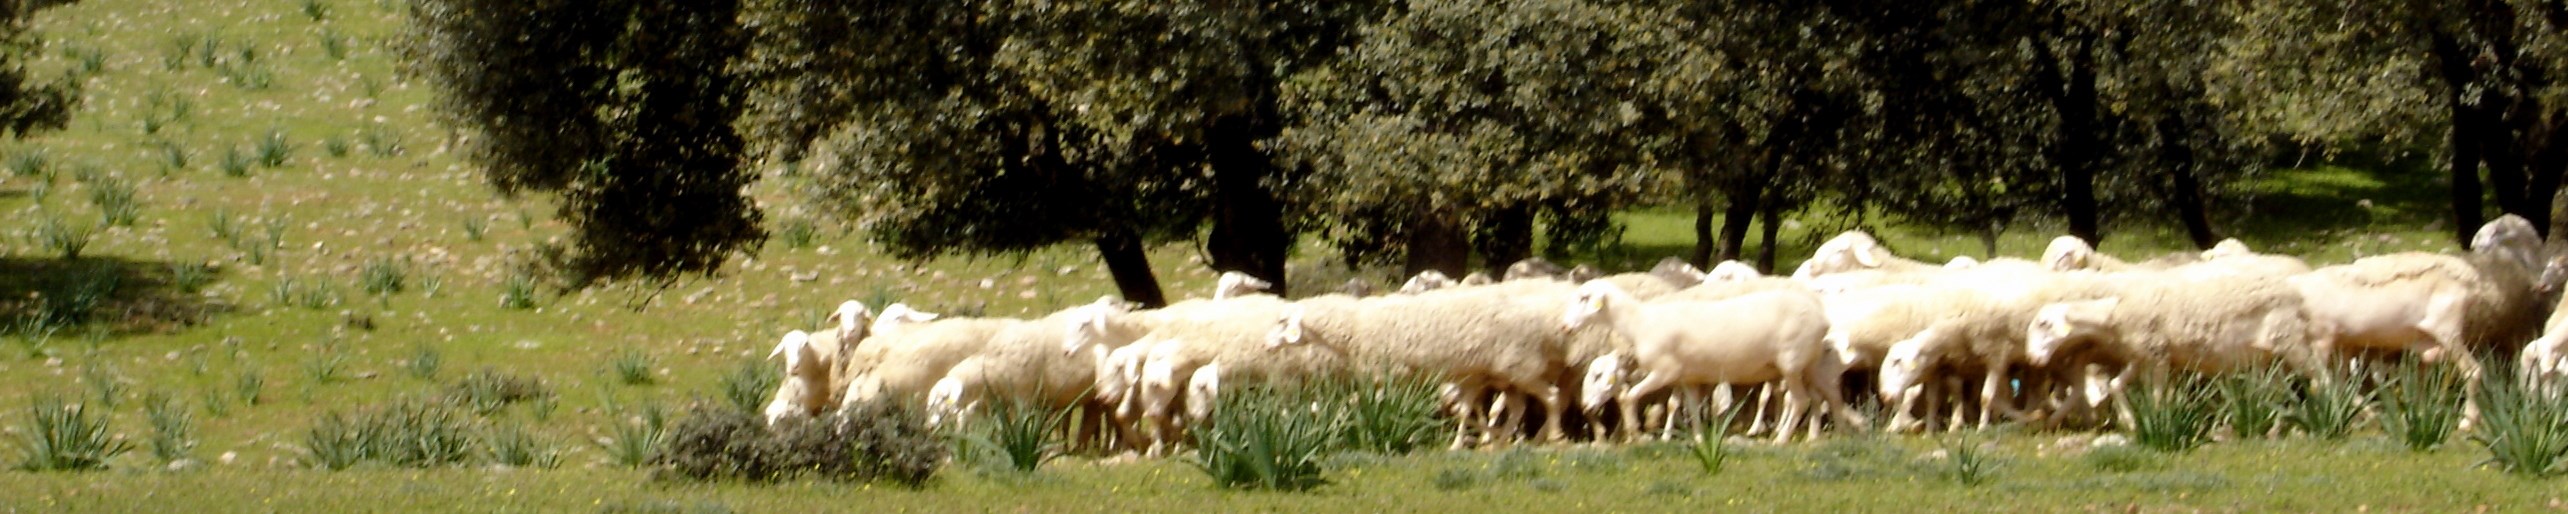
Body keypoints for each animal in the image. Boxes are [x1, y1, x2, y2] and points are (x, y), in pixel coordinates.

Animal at [1562, 280, 1859, 442]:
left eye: (1585, 298)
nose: (1565, 326)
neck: (1639, 322)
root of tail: (1822, 317)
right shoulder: (1688, 379)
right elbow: (1691, 409)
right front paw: (1697, 438)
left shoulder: (1663, 372)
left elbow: (1628, 397)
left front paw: (1635, 434)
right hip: (1811, 364)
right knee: (1831, 395)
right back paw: (1837, 436)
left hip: (1791, 363)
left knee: (1800, 400)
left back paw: (1782, 439)